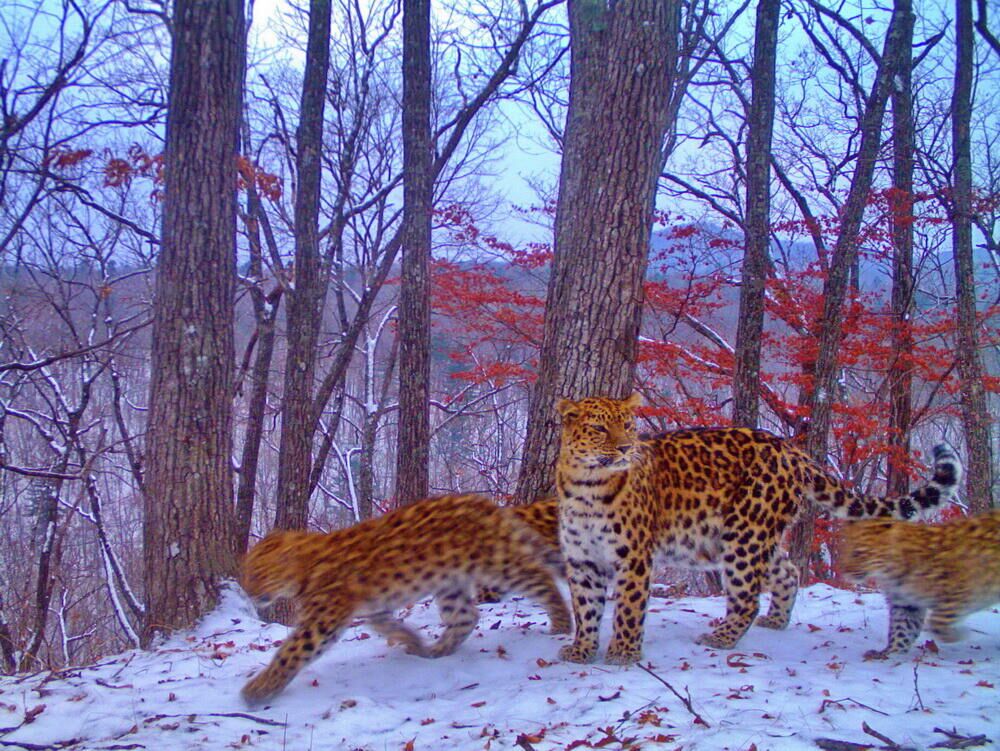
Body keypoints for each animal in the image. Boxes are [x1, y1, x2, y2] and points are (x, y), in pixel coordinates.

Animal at [239, 494, 572, 704]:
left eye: (257, 573)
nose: (248, 592)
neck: (306, 563)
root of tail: (486, 504)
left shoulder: (321, 622)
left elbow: (290, 653)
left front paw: (257, 690)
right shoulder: (375, 607)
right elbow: (386, 625)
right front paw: (412, 640)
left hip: (498, 564)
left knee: (540, 577)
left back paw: (562, 622)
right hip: (450, 582)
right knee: (465, 618)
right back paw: (436, 650)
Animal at [556, 394, 960, 664]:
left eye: (628, 426)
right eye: (599, 428)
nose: (626, 448)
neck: (587, 486)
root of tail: (793, 451)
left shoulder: (634, 556)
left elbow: (628, 605)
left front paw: (623, 652)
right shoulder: (581, 559)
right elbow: (585, 607)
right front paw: (582, 649)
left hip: (744, 533)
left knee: (747, 596)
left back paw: (721, 637)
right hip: (751, 533)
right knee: (787, 571)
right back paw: (776, 620)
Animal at [840, 508, 996, 660]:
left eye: (857, 553)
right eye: (844, 548)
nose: (843, 570)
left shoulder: (960, 589)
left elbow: (937, 622)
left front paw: (959, 635)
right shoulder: (906, 604)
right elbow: (901, 630)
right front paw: (890, 654)